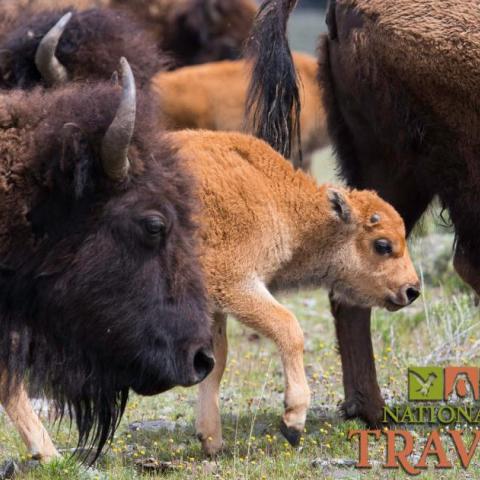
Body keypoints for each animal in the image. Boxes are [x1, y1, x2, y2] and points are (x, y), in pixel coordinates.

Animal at [169, 128, 420, 454]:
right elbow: (288, 328)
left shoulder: (215, 304)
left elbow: (216, 360)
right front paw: (292, 422)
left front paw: (211, 441)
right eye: (382, 245)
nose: (412, 289)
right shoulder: (235, 283)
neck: (276, 197)